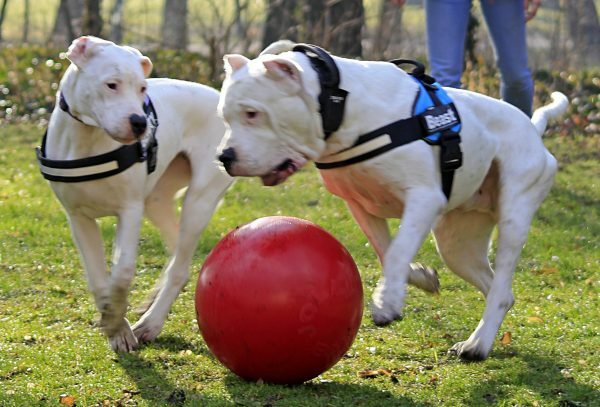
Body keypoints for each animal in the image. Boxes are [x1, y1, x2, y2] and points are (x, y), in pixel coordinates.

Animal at [36, 36, 231, 352]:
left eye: (142, 88)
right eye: (111, 85)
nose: (140, 122)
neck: (88, 139)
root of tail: (218, 97)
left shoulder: (129, 210)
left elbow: (123, 271)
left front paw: (117, 319)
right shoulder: (79, 219)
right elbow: (98, 278)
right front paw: (114, 324)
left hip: (199, 201)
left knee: (180, 266)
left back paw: (151, 323)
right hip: (157, 201)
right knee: (177, 253)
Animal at [216, 41, 568, 360]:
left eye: (252, 113)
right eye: (225, 117)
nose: (224, 157)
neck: (340, 106)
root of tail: (532, 128)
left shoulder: (424, 198)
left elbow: (398, 250)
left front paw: (386, 303)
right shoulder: (359, 205)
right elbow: (388, 251)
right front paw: (417, 278)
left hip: (513, 218)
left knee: (501, 281)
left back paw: (477, 345)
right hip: (457, 246)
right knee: (500, 290)